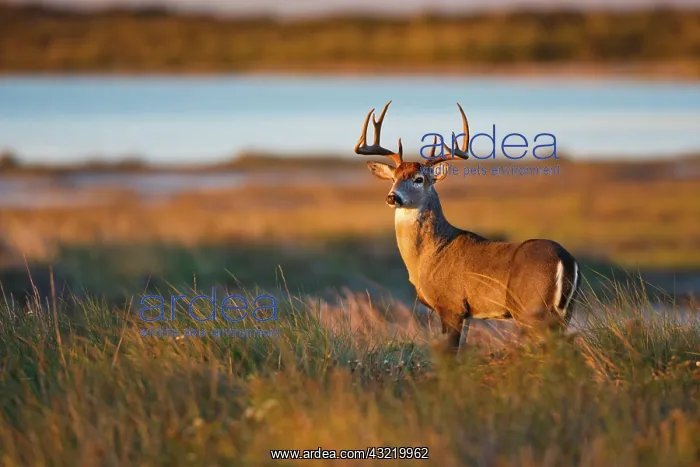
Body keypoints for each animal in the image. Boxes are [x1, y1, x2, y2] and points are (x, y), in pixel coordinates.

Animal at [354, 101, 581, 355]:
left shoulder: (451, 306)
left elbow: (450, 353)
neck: (429, 255)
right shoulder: (467, 313)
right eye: (393, 178)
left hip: (532, 308)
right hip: (563, 312)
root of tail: (565, 259)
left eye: (419, 179)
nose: (393, 197)